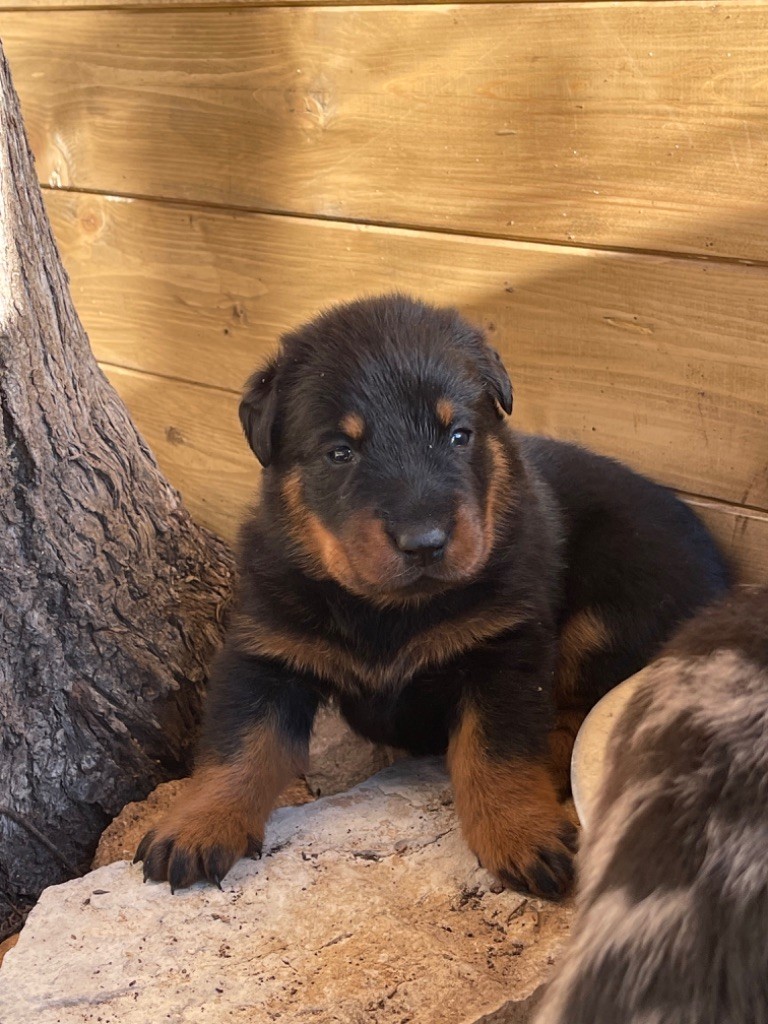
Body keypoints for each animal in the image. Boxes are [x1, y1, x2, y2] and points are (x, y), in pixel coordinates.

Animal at [135, 290, 729, 897]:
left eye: (458, 435)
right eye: (340, 452)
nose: (425, 542)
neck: (389, 610)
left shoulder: (503, 648)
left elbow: (497, 749)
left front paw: (520, 830)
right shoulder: (267, 648)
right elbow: (240, 743)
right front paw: (198, 824)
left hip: (607, 617)